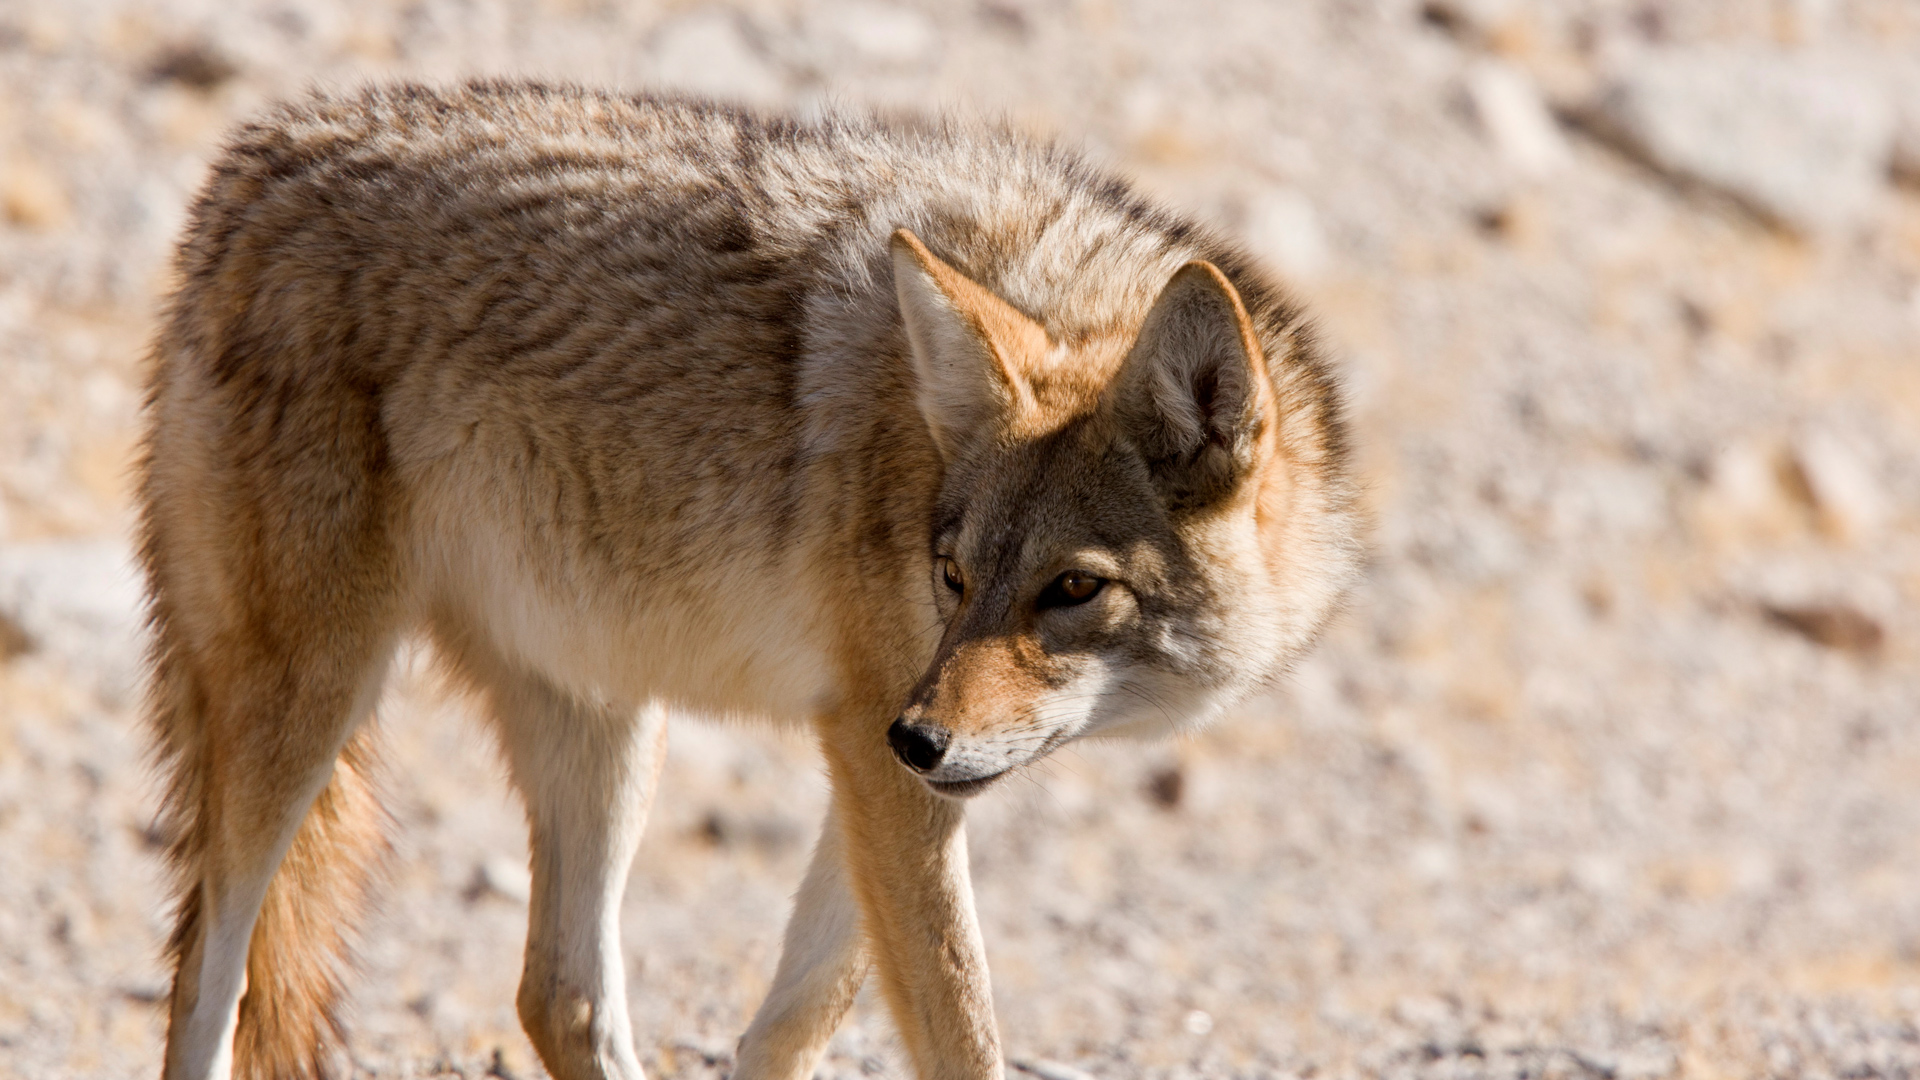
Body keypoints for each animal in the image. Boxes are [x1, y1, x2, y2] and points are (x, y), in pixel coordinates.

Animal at [138, 81, 1360, 1080]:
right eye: (955, 576)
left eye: (1071, 588)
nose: (921, 736)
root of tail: (252, 160)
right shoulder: (875, 752)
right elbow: (958, 1038)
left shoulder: (882, 766)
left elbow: (790, 1025)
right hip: (307, 715)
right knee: (207, 977)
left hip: (611, 726)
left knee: (559, 999)